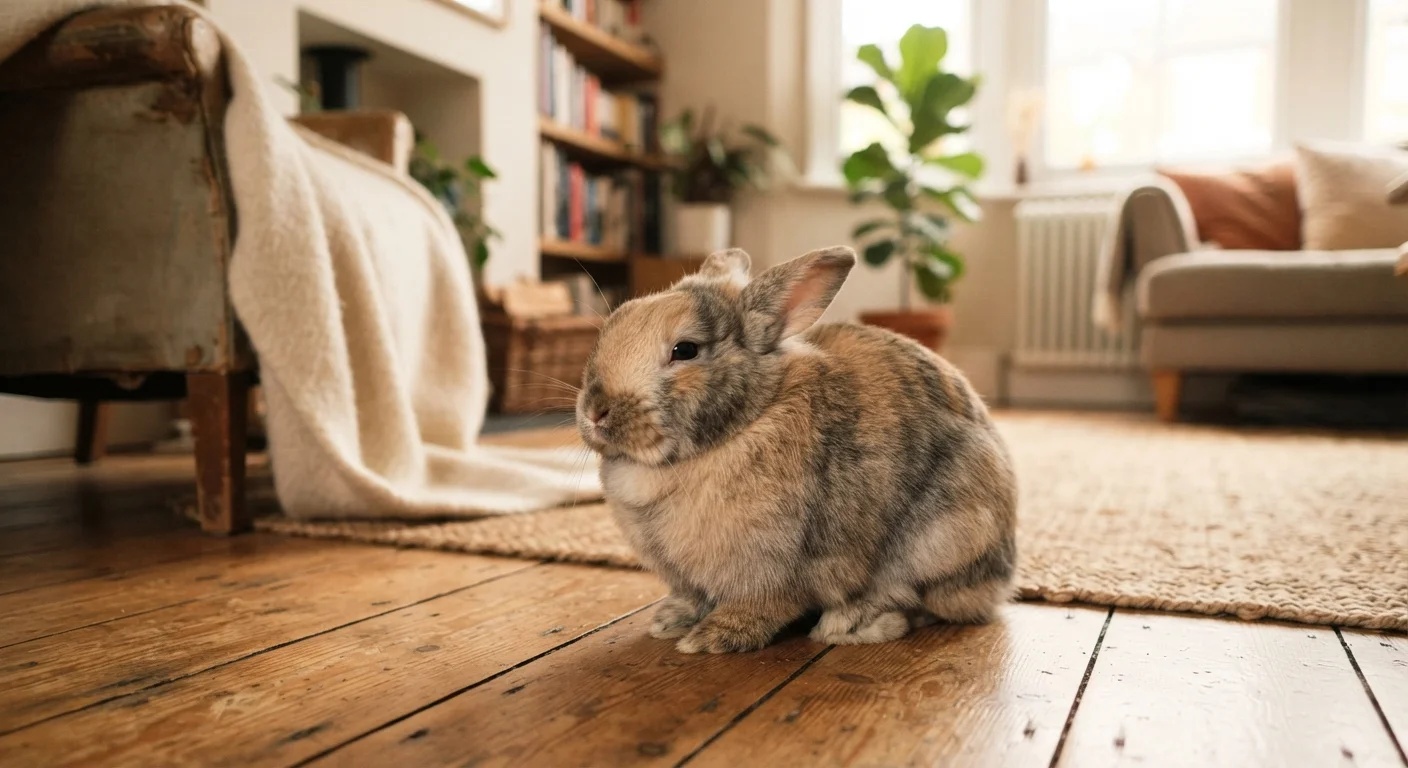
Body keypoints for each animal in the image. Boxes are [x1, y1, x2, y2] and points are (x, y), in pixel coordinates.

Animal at [576, 245, 1017, 654]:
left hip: (941, 541)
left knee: (920, 600)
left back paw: (850, 625)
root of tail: (1002, 577)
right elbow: (693, 597)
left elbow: (765, 606)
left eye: (685, 350)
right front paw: (671, 621)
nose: (595, 410)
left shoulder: (777, 568)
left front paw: (712, 639)